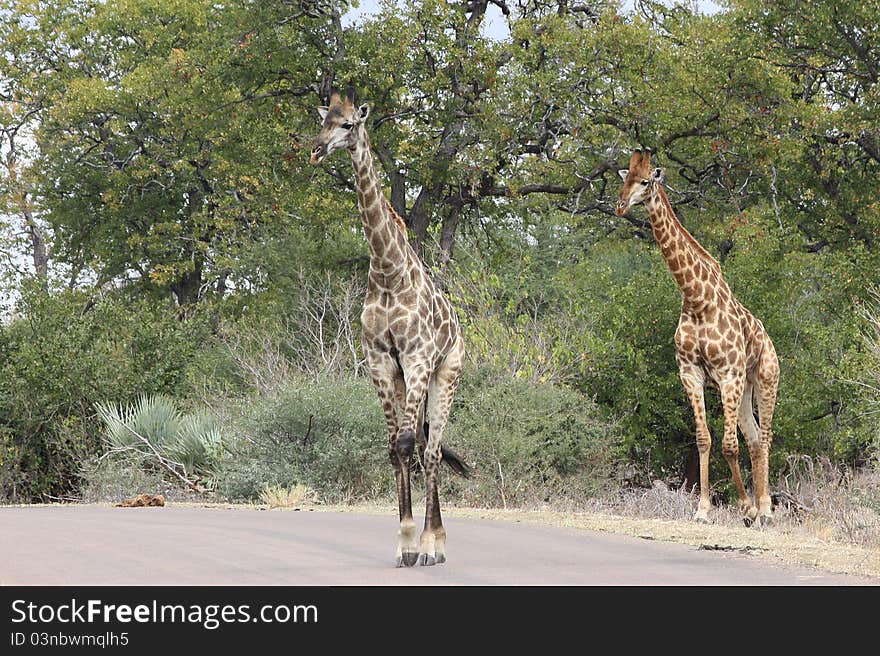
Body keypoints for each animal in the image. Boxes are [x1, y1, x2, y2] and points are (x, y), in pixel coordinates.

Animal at [312, 89, 474, 568]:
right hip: (408, 378)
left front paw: (417, 544)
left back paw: (437, 546)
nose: (316, 149)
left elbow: (405, 446)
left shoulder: (417, 358)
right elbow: (392, 447)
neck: (387, 271)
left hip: (446, 373)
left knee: (432, 449)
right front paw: (402, 544)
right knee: (421, 445)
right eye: (323, 120)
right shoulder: (381, 362)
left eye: (348, 125)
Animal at [616, 150, 780, 528]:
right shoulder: (690, 373)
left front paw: (745, 508)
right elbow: (704, 439)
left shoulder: (728, 374)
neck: (695, 299)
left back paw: (765, 509)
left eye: (644, 181)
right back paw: (759, 507)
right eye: (624, 178)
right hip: (745, 388)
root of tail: (768, 340)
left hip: (765, 379)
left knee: (764, 437)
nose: (620, 205)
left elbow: (728, 445)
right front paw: (704, 510)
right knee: (753, 438)